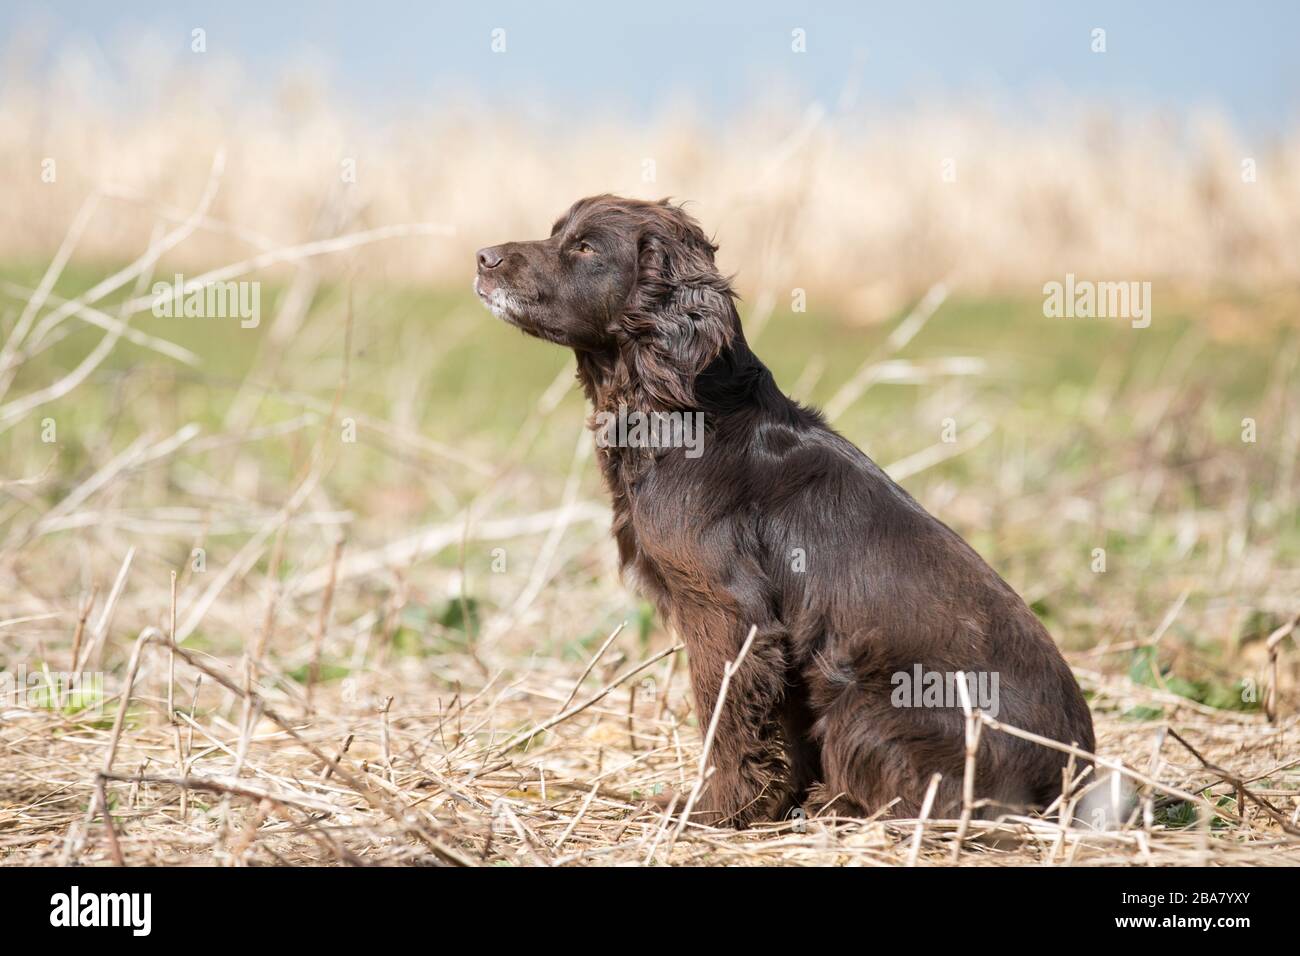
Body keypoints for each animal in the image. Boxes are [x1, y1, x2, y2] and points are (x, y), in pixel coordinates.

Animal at [473, 196, 1092, 832]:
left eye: (586, 247)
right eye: (557, 233)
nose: (483, 257)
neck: (683, 409)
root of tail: (1073, 781)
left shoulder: (729, 610)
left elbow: (726, 724)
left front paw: (712, 811)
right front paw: (767, 806)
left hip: (868, 697)